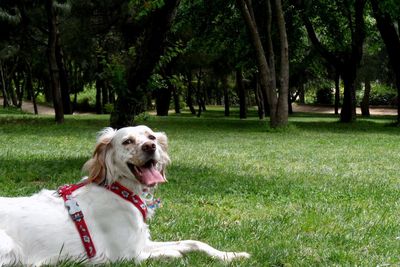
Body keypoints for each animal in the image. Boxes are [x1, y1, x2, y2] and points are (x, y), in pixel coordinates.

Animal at [0, 125, 250, 266]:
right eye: (127, 141)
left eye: (151, 136)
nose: (150, 146)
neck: (121, 190)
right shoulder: (128, 254)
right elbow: (176, 252)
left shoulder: (142, 241)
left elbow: (193, 242)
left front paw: (232, 255)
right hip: (10, 248)